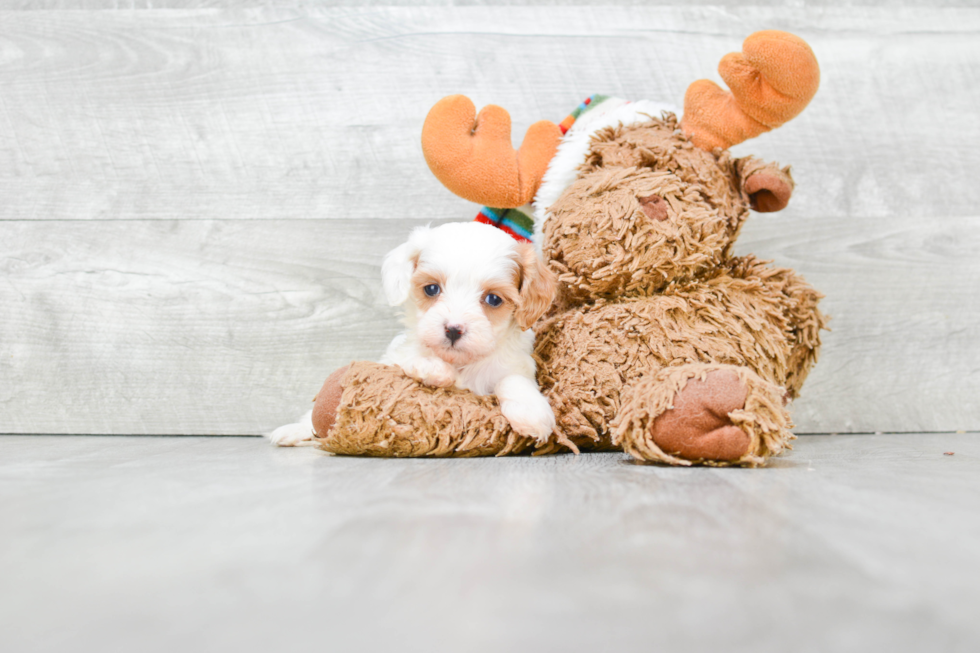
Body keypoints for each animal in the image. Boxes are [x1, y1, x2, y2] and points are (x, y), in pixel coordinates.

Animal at [268, 222, 560, 446]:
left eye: (493, 299)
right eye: (431, 289)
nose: (453, 329)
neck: (460, 363)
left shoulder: (515, 365)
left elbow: (514, 380)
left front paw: (532, 413)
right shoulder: (393, 357)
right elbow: (407, 358)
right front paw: (434, 369)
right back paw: (293, 431)